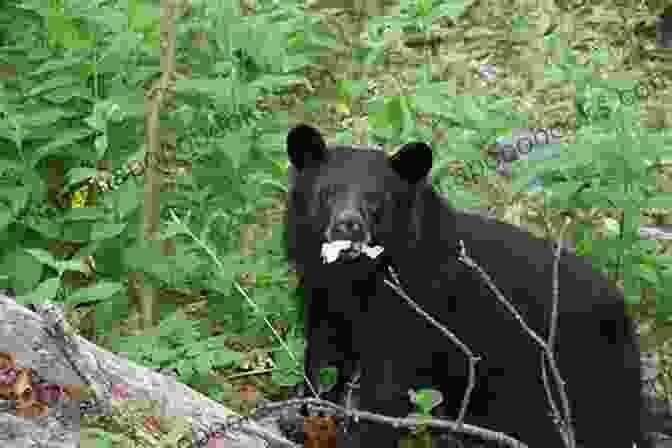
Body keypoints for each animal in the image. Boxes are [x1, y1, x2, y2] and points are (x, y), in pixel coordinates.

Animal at [286, 124, 652, 448]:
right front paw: (308, 416)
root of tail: (624, 317)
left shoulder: (415, 312)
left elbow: (387, 388)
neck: (357, 279)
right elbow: (323, 360)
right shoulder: (323, 299)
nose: (348, 225)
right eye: (327, 193)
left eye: (376, 200)